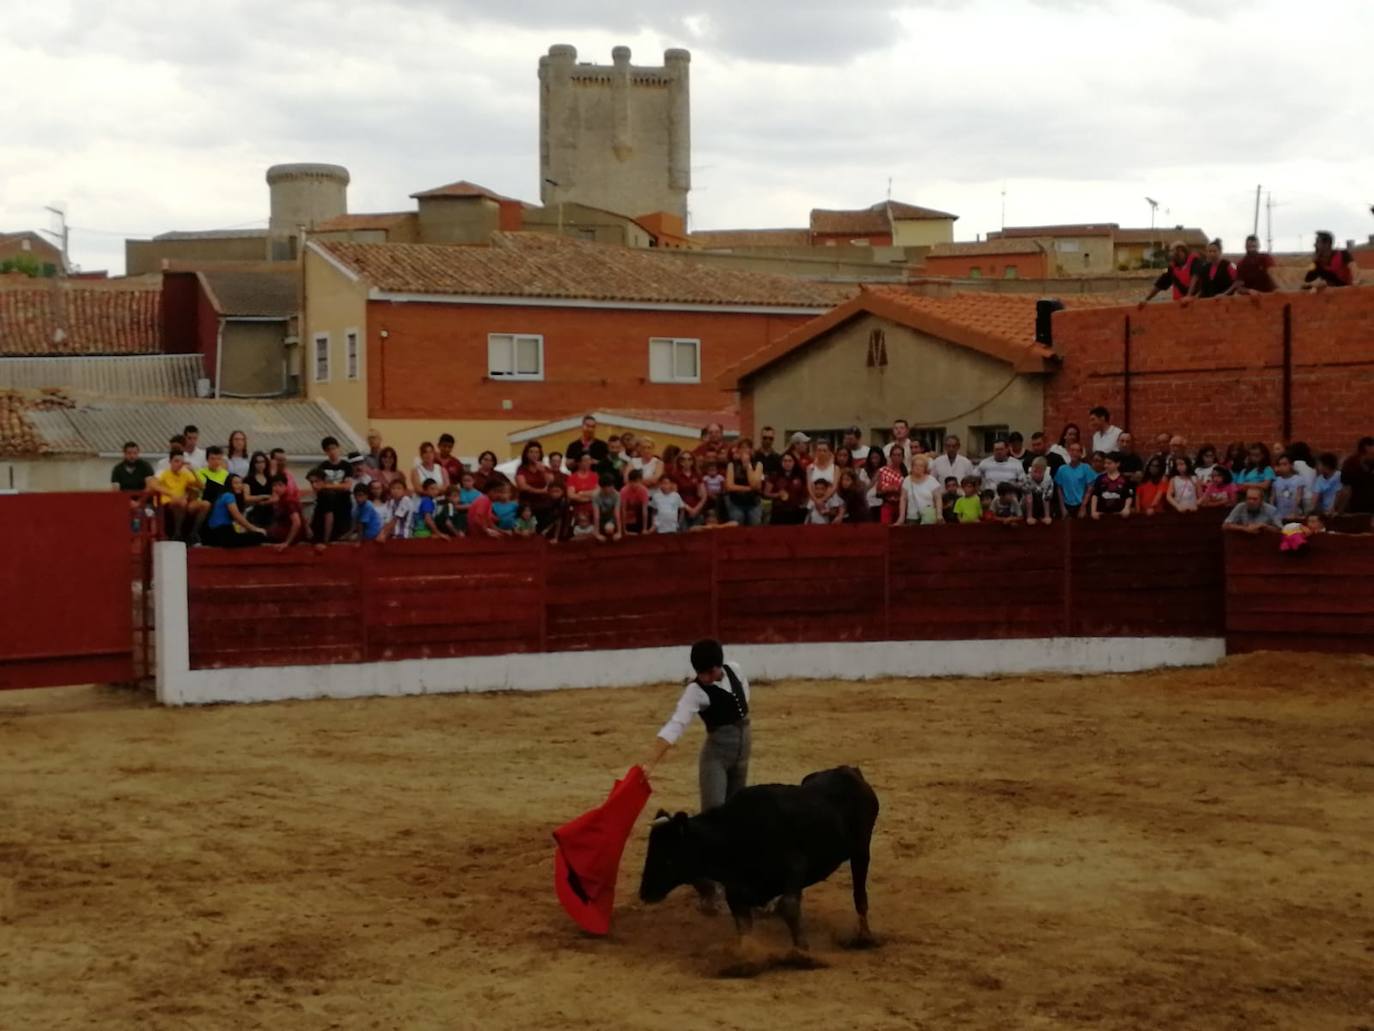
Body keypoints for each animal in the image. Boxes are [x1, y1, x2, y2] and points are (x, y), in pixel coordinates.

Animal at [634, 764, 879, 951]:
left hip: (861, 851)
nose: (645, 892)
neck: (732, 836)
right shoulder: (737, 891)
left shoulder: (795, 866)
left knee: (860, 896)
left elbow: (789, 905)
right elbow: (744, 926)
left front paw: (802, 950)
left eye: (668, 856)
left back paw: (865, 937)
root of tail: (849, 771)